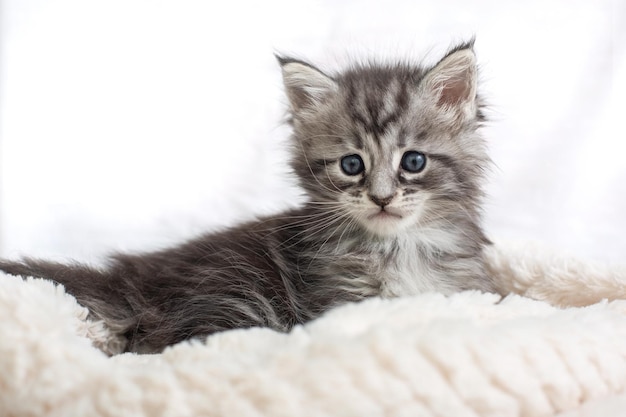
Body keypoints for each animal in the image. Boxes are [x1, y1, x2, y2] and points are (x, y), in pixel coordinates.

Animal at [0, 40, 498, 352]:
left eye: (412, 161)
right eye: (351, 165)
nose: (381, 198)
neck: (398, 246)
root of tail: (129, 277)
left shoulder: (463, 288)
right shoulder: (335, 303)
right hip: (236, 298)